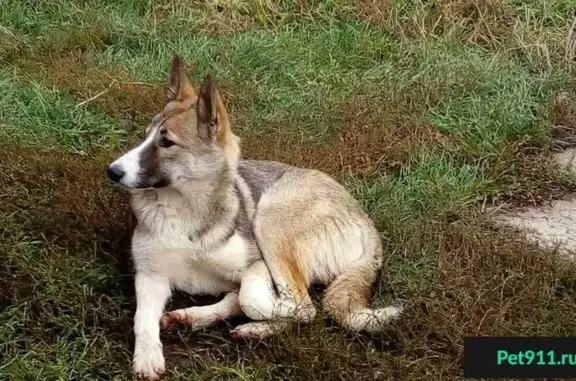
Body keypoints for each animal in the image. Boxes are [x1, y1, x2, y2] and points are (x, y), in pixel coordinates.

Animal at [108, 55, 402, 378]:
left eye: (166, 143)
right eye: (145, 136)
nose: (112, 171)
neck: (185, 210)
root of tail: (364, 220)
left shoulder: (257, 264)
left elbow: (255, 299)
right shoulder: (150, 277)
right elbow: (143, 320)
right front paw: (147, 357)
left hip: (271, 218)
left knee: (304, 305)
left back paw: (253, 327)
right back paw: (201, 319)